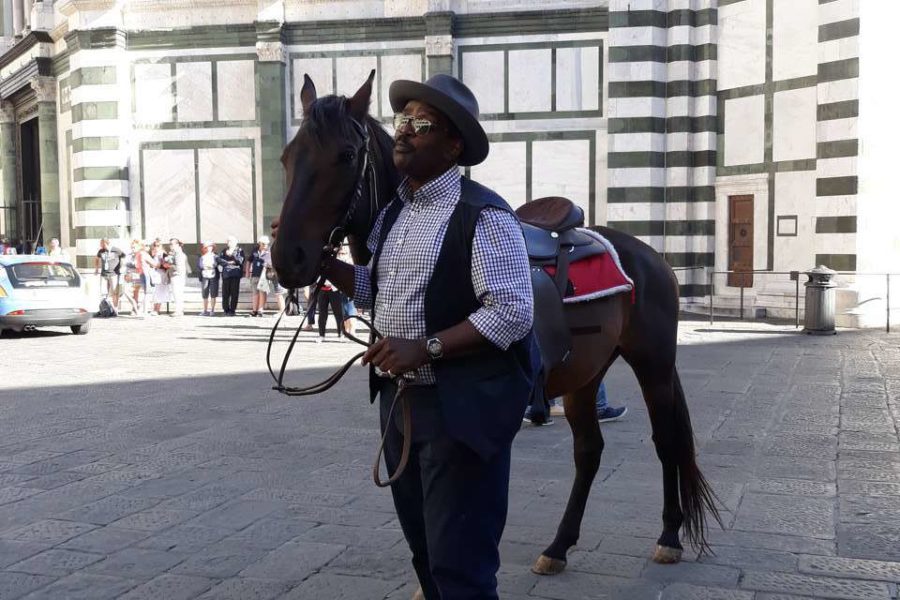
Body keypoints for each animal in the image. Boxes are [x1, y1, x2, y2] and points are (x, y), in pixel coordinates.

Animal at [270, 70, 720, 576]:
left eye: (346, 156)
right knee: (588, 452)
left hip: (654, 364)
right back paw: (558, 546)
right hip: (586, 374)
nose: (288, 257)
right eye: (288, 156)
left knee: (667, 440)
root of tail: (653, 258)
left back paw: (669, 536)